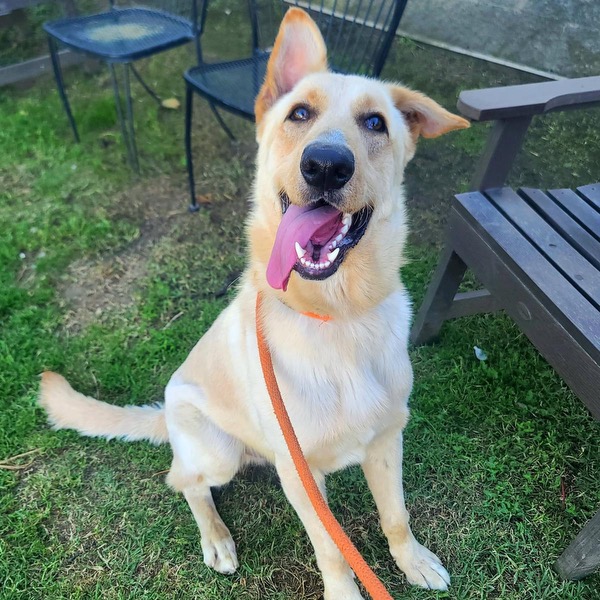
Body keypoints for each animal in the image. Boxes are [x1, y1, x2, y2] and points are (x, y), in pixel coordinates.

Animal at [39, 8, 468, 599]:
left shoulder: (386, 440)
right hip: (216, 451)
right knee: (182, 480)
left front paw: (413, 562)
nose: (326, 165)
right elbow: (332, 550)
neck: (337, 317)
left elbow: (396, 517)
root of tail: (166, 414)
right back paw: (216, 538)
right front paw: (345, 592)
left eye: (376, 123)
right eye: (300, 113)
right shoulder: (301, 475)